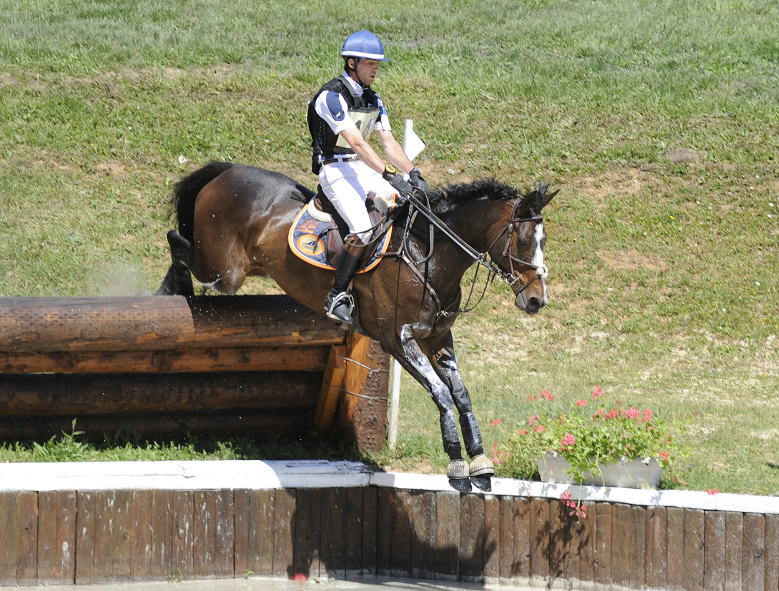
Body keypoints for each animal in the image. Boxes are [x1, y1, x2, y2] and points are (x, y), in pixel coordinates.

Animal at [157, 162, 556, 494]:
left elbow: (461, 395)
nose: (537, 300)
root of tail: (226, 171)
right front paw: (458, 466)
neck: (428, 252)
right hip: (224, 270)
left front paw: (480, 464)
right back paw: (169, 291)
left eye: (544, 241)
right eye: (523, 241)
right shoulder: (398, 340)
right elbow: (442, 394)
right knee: (178, 243)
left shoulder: (439, 338)